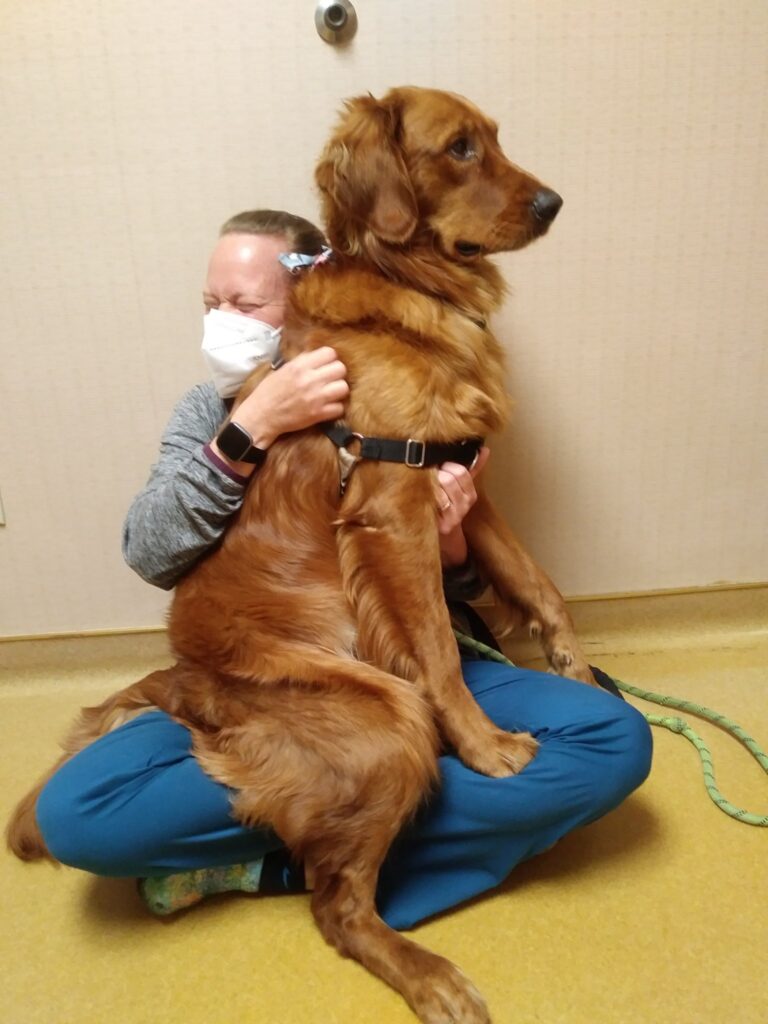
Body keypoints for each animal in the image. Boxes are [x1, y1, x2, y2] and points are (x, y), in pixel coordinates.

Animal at [10, 90, 593, 1024]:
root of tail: (189, 677)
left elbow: (541, 584)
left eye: (496, 138)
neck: (411, 288)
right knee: (336, 905)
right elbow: (439, 648)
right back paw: (429, 974)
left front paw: (577, 667)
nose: (552, 204)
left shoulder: (465, 480)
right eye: (460, 148)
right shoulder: (394, 508)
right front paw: (484, 746)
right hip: (388, 716)